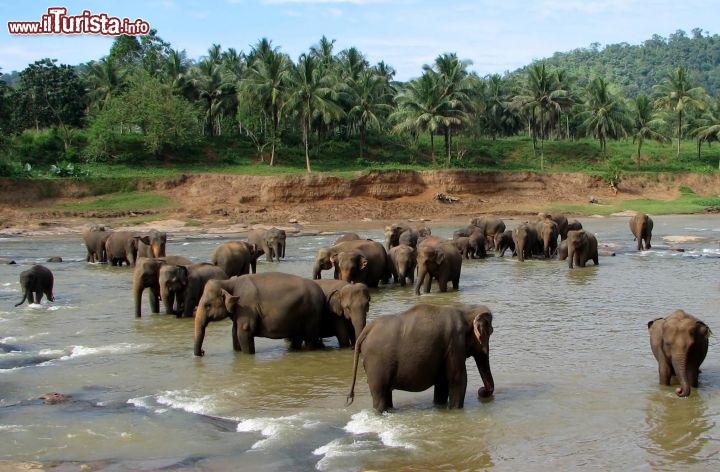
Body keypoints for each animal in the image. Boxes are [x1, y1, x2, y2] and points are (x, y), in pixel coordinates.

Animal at [193, 272, 324, 356]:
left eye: (208, 305)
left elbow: (244, 332)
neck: (229, 282)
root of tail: (320, 291)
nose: (203, 352)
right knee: (297, 337)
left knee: (309, 338)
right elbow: (235, 332)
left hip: (312, 314)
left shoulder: (246, 306)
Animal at [344, 304, 492, 412]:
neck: (466, 310)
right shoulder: (455, 343)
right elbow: (458, 380)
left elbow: (442, 383)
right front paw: (455, 411)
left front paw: (440, 407)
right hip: (377, 363)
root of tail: (366, 330)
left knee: (386, 394)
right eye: (491, 332)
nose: (481, 391)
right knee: (380, 395)